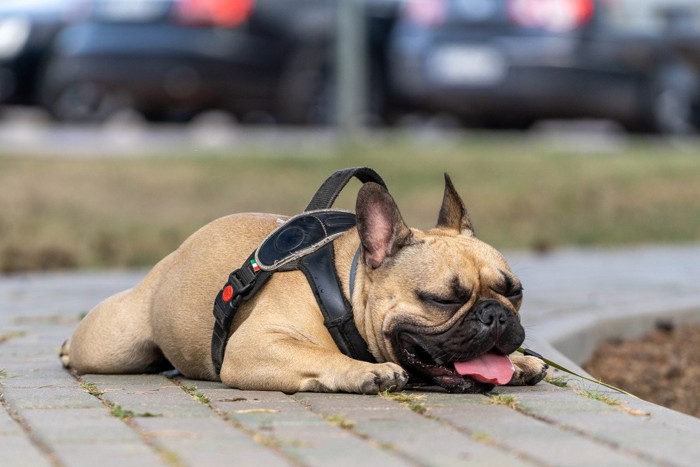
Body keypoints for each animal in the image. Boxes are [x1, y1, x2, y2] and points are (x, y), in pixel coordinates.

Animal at [61, 173, 548, 394]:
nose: (495, 315)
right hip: (117, 344)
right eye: (443, 299)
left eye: (515, 292)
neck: (347, 292)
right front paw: (366, 371)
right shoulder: (255, 344)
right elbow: (320, 355)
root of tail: (170, 261)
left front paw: (520, 361)